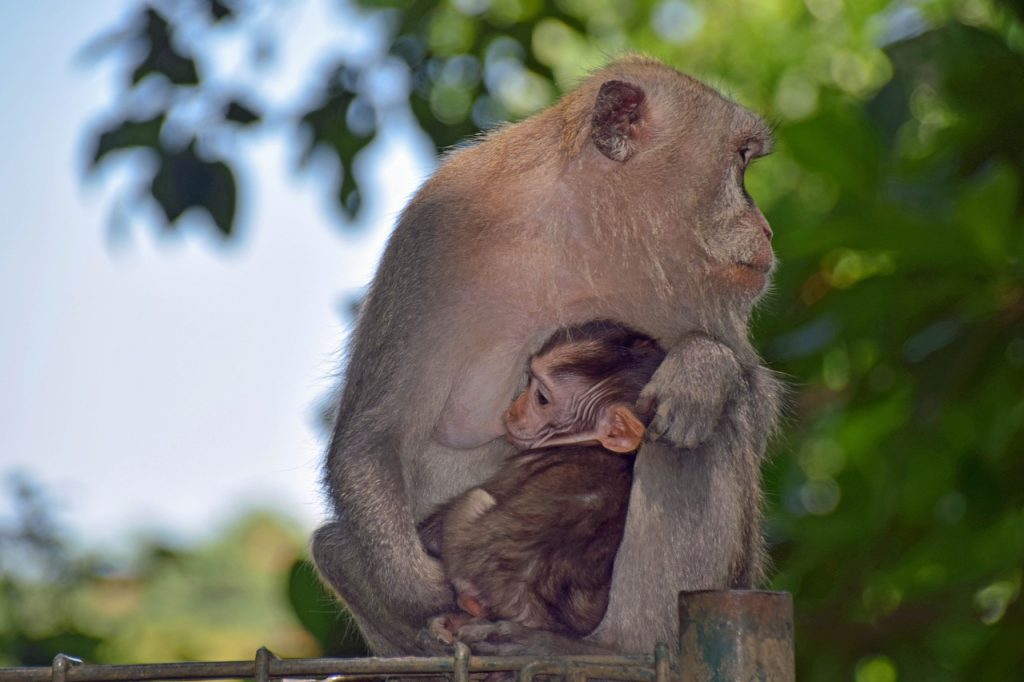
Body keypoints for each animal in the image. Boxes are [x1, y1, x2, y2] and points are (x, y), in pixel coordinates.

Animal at [415, 319, 663, 638]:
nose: (513, 409)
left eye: (541, 398)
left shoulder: (521, 464)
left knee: (474, 500)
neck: (591, 444)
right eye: (529, 379)